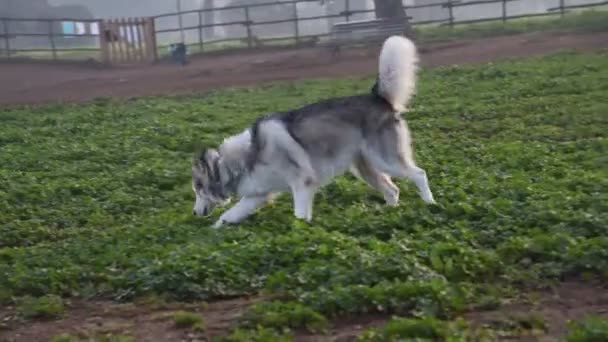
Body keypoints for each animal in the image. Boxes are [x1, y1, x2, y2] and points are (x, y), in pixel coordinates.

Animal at [192, 34, 434, 228]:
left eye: (198, 189)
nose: (193, 213)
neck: (244, 159)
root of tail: (378, 97)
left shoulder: (302, 184)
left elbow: (299, 215)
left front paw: (301, 230)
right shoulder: (257, 196)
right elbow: (228, 216)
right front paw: (213, 233)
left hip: (386, 161)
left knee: (419, 174)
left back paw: (430, 204)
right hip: (365, 169)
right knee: (393, 190)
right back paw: (389, 213)